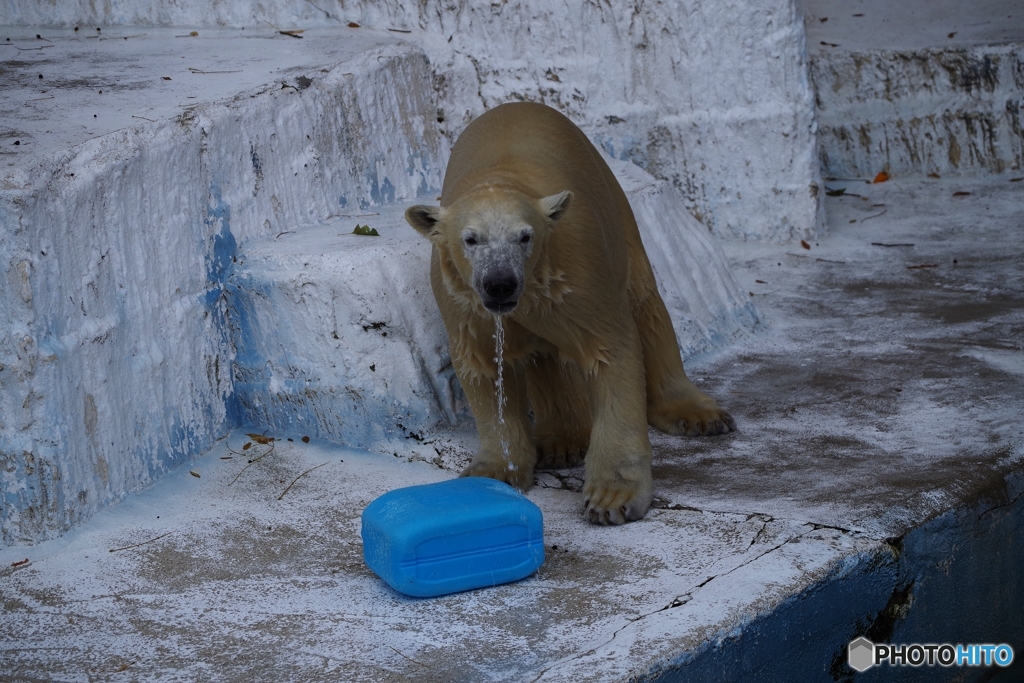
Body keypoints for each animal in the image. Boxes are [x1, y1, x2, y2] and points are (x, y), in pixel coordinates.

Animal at [403, 101, 733, 528]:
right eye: (471, 239)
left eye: (525, 237)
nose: (500, 284)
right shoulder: (462, 299)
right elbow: (484, 366)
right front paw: (495, 471)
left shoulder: (575, 267)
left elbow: (609, 351)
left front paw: (613, 497)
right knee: (543, 351)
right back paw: (561, 442)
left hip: (613, 202)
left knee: (644, 300)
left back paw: (696, 415)